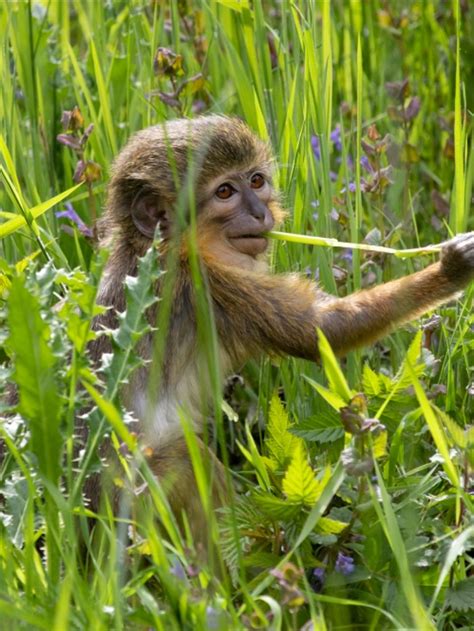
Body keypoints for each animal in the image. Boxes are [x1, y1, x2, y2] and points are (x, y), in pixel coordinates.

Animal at [92, 115, 474, 544]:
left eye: (256, 181)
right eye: (225, 192)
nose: (261, 212)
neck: (157, 249)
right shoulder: (209, 286)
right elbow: (321, 331)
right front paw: (451, 269)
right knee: (185, 461)